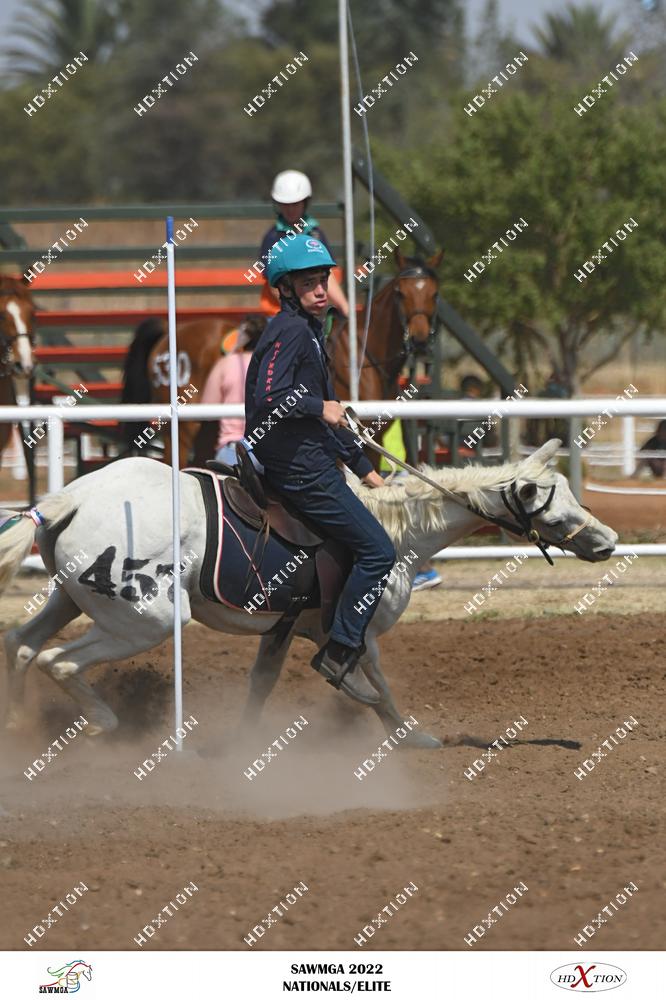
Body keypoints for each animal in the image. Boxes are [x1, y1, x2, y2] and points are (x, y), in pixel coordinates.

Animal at [0, 440, 617, 746]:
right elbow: (377, 685)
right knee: (58, 661)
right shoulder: (353, 630)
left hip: (70, 598)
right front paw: (411, 736)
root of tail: (73, 497)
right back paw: (102, 725)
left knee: (23, 644)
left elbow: (261, 685)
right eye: (555, 509)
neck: (391, 530)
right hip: (144, 621)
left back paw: (19, 727)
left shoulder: (284, 630)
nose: (609, 541)